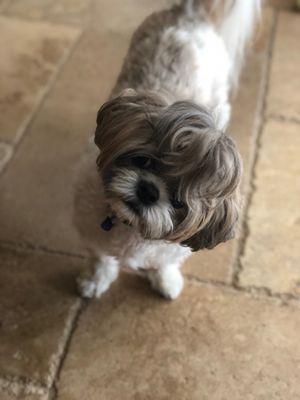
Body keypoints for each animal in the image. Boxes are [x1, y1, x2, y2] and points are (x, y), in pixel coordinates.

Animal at [74, 0, 262, 300]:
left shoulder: (170, 251)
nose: (149, 190)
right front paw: (94, 279)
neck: (130, 227)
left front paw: (166, 280)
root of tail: (190, 14)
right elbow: (99, 257)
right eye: (142, 160)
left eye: (179, 202)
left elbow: (162, 264)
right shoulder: (92, 233)